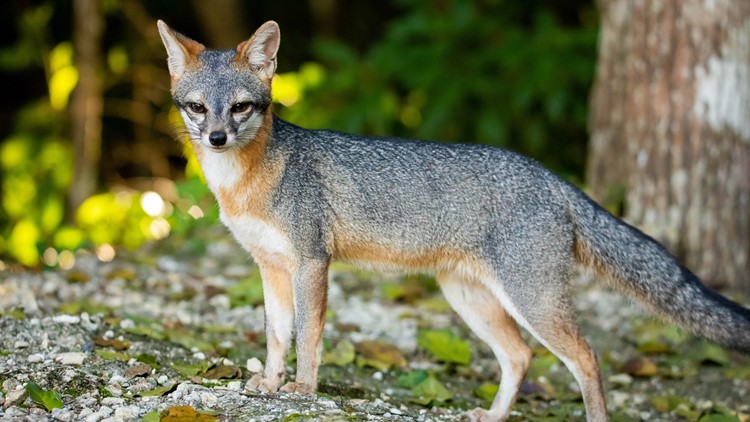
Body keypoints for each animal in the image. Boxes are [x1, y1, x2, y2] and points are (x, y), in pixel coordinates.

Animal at [156, 19, 750, 422]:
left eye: (240, 108)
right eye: (196, 108)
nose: (216, 138)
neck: (248, 182)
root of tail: (550, 176)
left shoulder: (311, 263)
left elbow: (309, 335)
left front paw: (302, 390)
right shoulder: (271, 267)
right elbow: (278, 336)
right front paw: (271, 383)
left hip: (532, 298)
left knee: (587, 357)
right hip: (469, 299)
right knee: (520, 356)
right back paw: (494, 415)